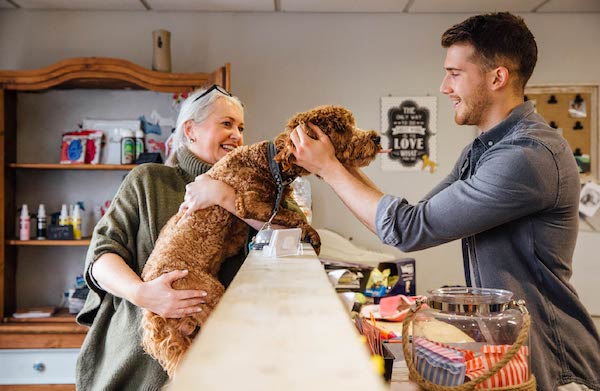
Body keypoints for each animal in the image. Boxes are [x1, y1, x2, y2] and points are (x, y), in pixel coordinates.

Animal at [141, 104, 380, 376]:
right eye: (341, 128)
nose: (376, 138)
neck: (270, 163)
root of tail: (153, 314)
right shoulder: (248, 202)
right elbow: (292, 216)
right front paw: (312, 234)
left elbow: (289, 213)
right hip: (205, 293)